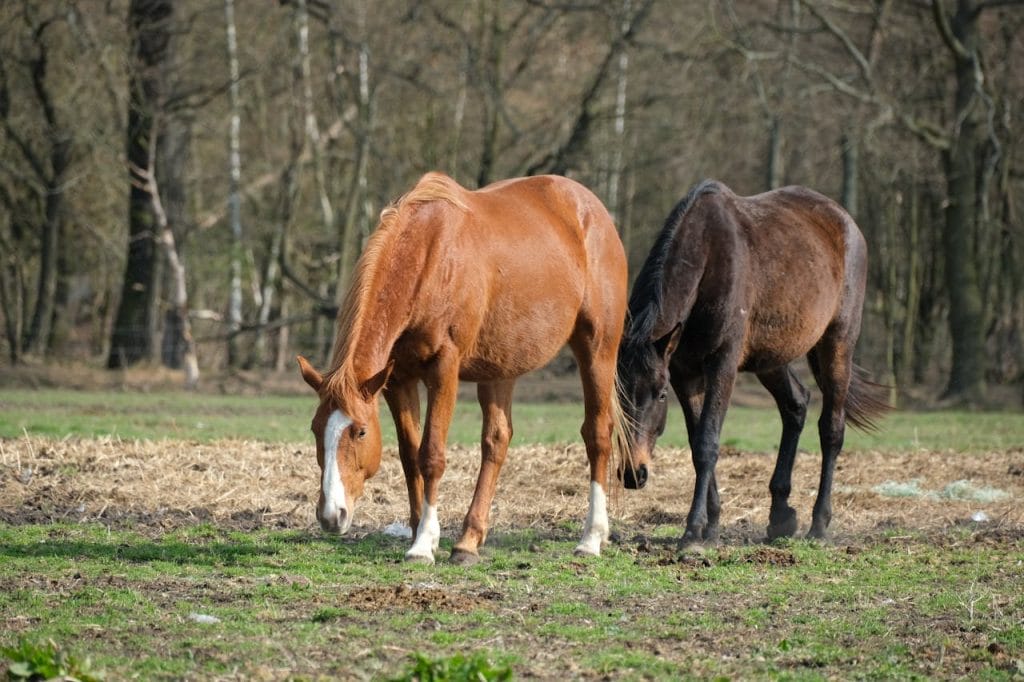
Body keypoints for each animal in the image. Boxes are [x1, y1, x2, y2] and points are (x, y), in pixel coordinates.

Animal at [297, 171, 628, 565]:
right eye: (316, 428)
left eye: (360, 432)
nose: (331, 516)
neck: (427, 259)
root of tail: (593, 211)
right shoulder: (398, 378)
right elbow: (410, 456)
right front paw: (420, 532)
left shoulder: (444, 368)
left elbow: (431, 454)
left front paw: (423, 544)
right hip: (500, 367)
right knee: (497, 441)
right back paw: (469, 540)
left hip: (596, 349)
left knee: (597, 434)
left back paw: (591, 537)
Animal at [616, 179, 889, 547]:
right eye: (619, 394)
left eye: (659, 395)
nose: (634, 473)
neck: (706, 260)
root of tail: (846, 222)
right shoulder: (685, 375)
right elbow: (696, 442)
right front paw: (711, 524)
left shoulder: (722, 365)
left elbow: (707, 442)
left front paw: (693, 531)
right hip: (771, 358)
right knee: (795, 405)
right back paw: (780, 516)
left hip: (837, 345)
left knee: (831, 429)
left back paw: (819, 525)